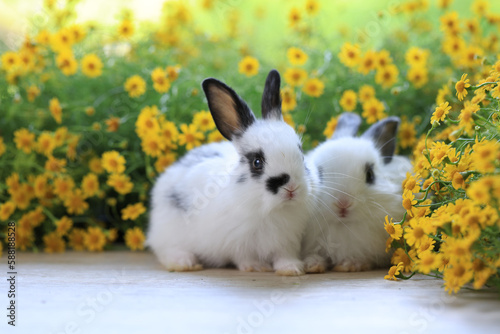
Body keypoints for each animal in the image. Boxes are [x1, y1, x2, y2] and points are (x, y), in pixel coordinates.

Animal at [146, 69, 308, 276]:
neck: (271, 210)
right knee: (166, 249)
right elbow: (243, 257)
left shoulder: (287, 241)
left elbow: (284, 256)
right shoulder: (236, 242)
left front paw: (292, 269)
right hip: (170, 230)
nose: (292, 188)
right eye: (257, 162)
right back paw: (184, 262)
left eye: (301, 153)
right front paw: (256, 267)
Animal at [302, 113, 412, 272]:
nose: (343, 203)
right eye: (319, 175)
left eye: (370, 175)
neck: (344, 227)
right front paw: (312, 265)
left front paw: (350, 265)